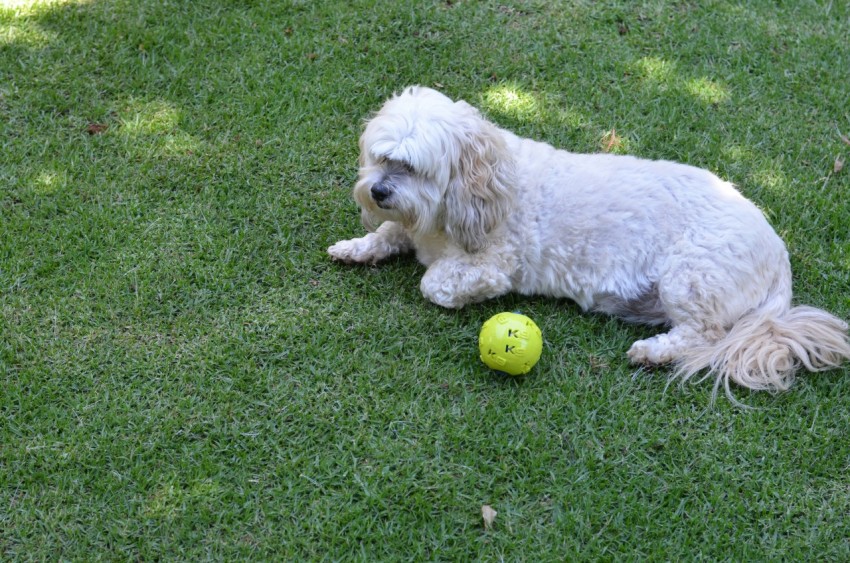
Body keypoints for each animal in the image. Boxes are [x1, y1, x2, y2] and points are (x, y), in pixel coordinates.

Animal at [326, 85, 848, 400]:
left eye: (412, 168)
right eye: (380, 158)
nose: (377, 191)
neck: (478, 188)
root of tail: (778, 253)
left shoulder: (494, 267)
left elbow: (433, 284)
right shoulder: (409, 225)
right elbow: (388, 233)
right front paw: (355, 246)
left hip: (692, 275)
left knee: (705, 334)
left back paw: (653, 352)